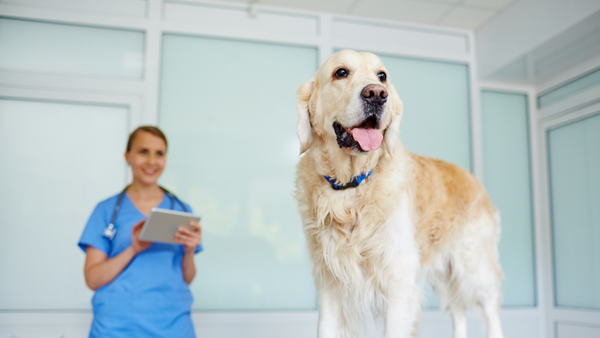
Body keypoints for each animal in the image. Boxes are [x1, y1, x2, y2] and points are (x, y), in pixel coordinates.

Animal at [292, 50, 504, 338]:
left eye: (382, 76)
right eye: (340, 72)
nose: (376, 94)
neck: (351, 187)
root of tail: (474, 179)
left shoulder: (398, 282)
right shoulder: (329, 285)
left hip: (473, 266)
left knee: (491, 312)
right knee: (459, 311)